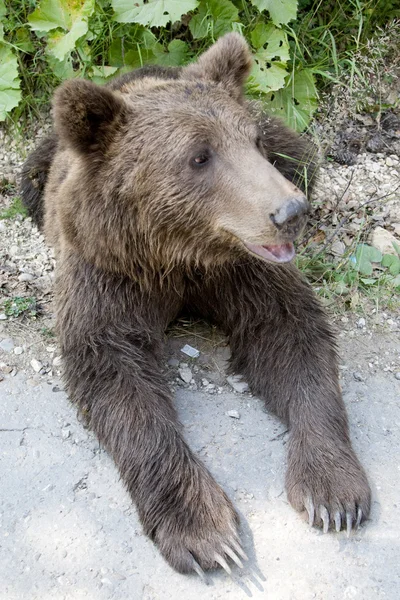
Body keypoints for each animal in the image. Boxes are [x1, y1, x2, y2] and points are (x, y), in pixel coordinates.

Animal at [21, 32, 372, 576]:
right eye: (199, 156)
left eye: (250, 143)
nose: (290, 211)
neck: (178, 254)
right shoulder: (109, 278)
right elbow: (117, 379)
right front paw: (207, 533)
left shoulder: (239, 272)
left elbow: (292, 335)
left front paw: (333, 494)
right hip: (38, 174)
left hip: (285, 141)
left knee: (302, 156)